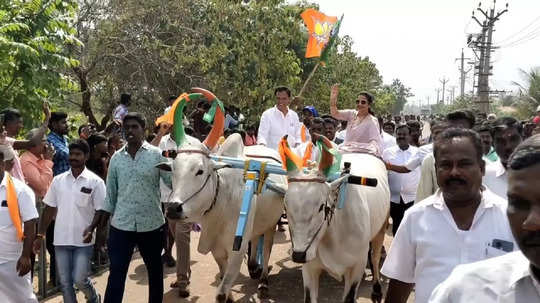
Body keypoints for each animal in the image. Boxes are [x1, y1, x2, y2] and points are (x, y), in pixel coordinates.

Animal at [160, 134, 286, 302]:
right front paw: (231, 297)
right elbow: (223, 276)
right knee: (255, 241)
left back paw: (263, 281)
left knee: (266, 250)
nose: (173, 209)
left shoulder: (236, 251)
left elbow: (221, 293)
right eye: (173, 170)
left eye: (200, 171)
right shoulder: (217, 249)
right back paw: (254, 267)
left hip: (271, 224)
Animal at [284, 153, 390, 302]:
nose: (298, 255)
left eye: (321, 206)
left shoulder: (356, 268)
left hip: (381, 229)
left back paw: (377, 290)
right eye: (285, 206)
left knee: (375, 258)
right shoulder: (310, 267)